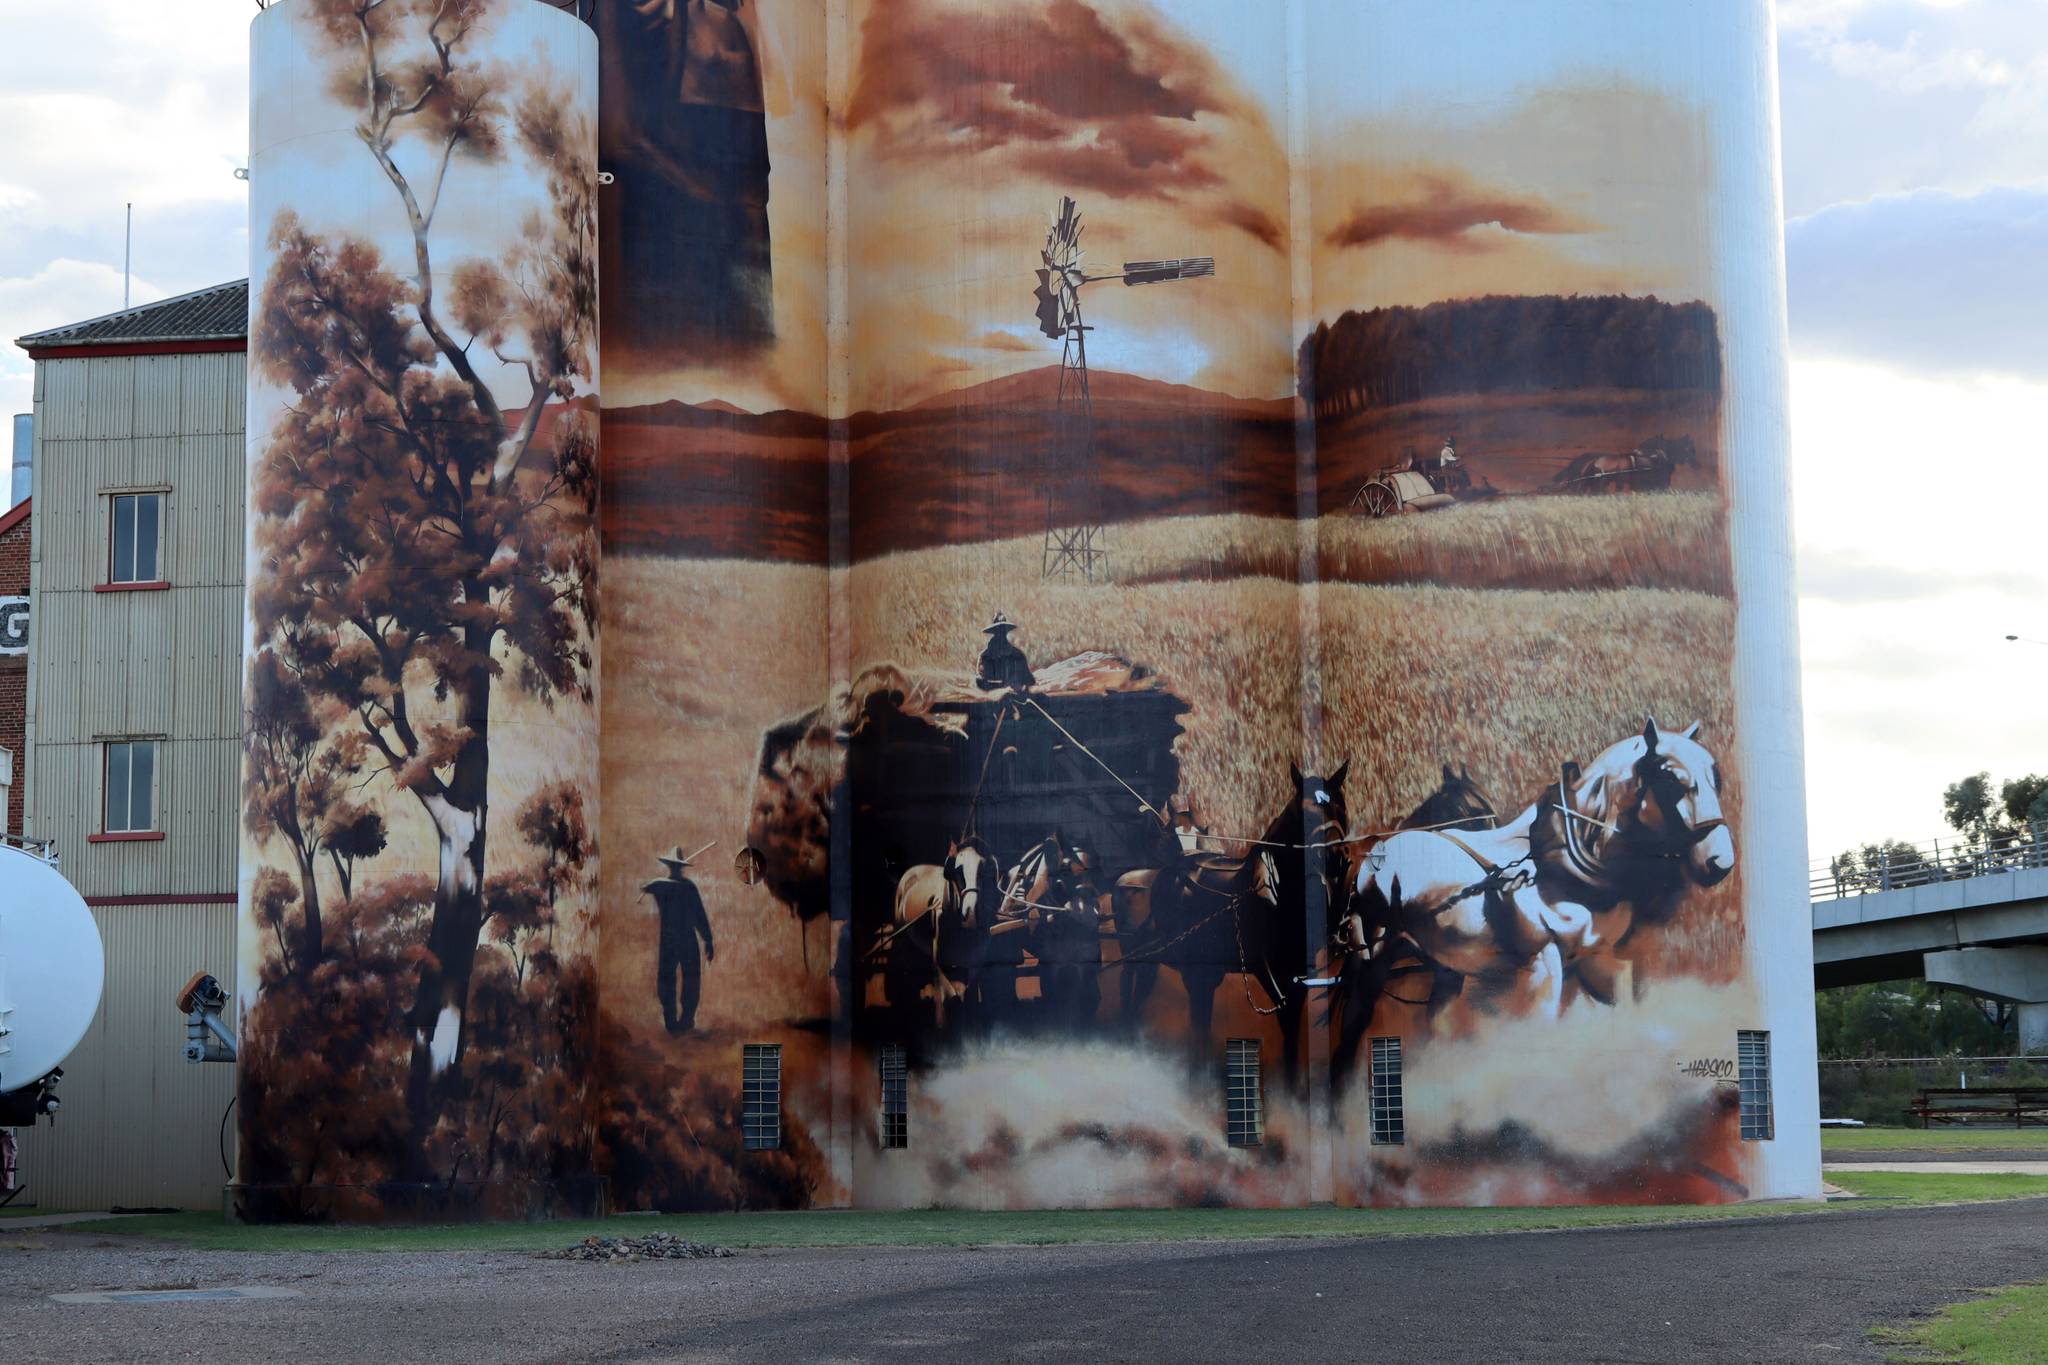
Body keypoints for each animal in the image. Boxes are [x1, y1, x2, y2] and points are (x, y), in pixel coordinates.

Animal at [1351, 720, 1736, 1031]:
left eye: (1716, 778)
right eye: (1671, 780)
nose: (1720, 862)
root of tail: (1380, 851)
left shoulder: (1599, 960)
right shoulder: (1543, 967)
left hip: (1442, 967)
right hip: (1375, 962)